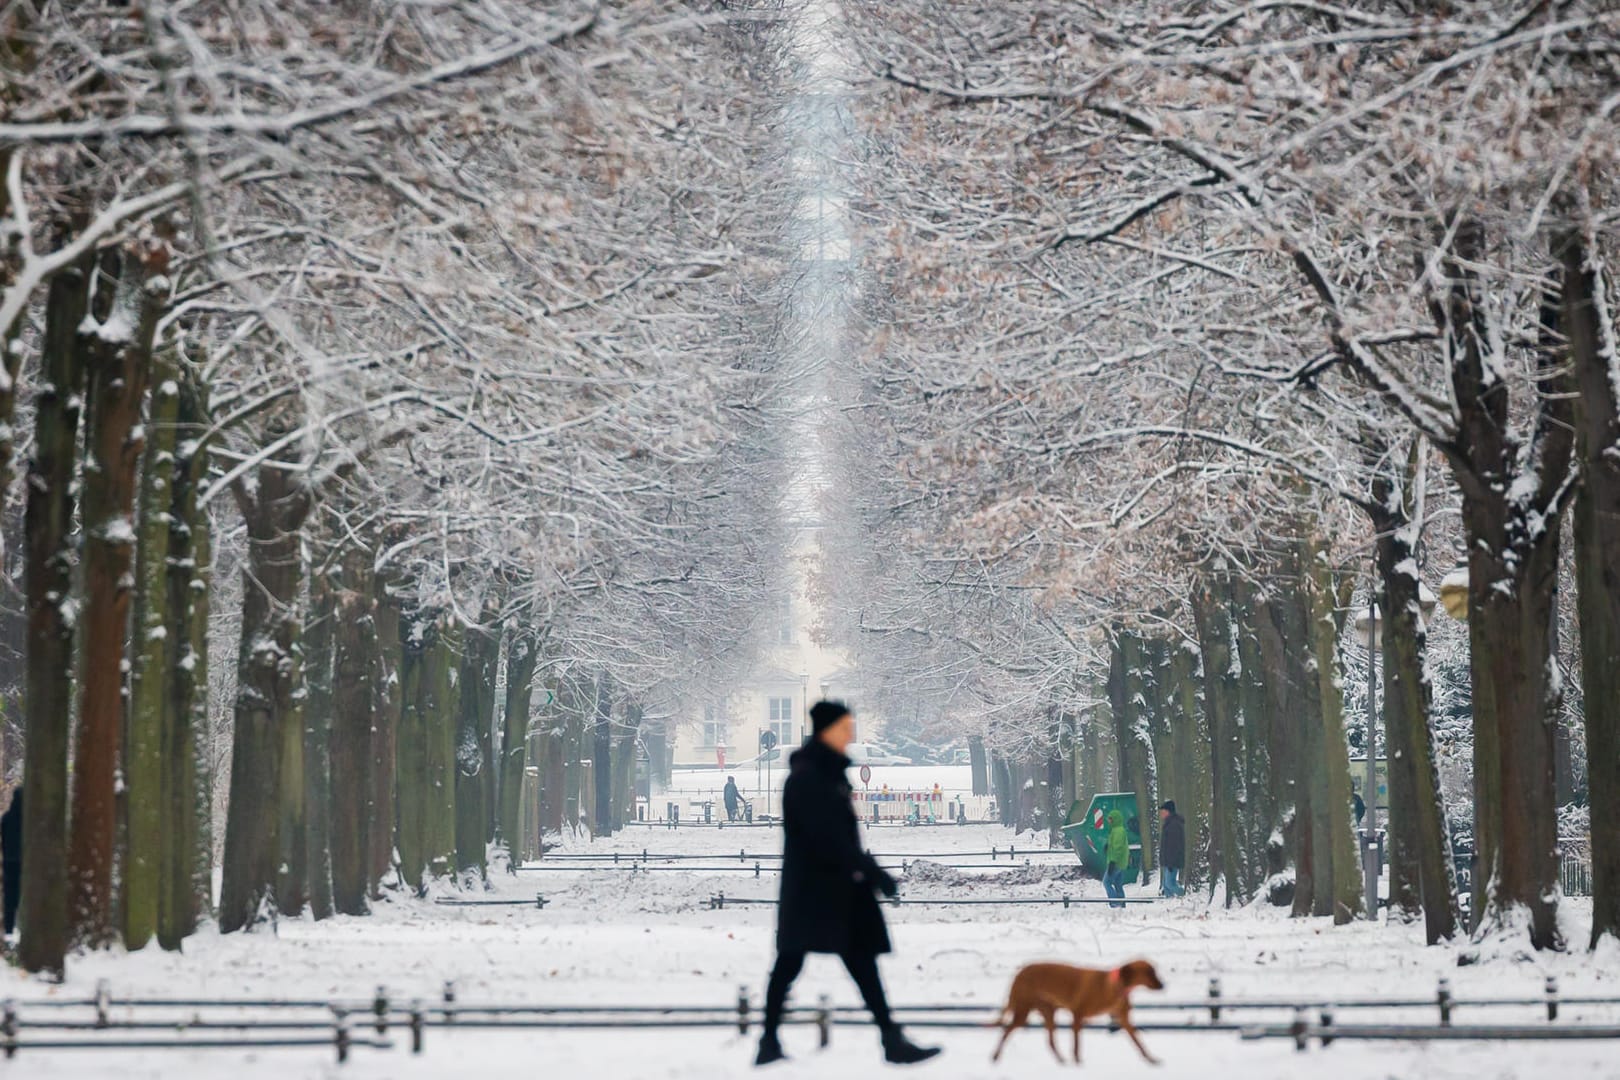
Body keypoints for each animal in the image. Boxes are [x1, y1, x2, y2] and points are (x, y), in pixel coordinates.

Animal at [984, 958, 1166, 1068]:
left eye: (1154, 971)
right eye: (1149, 972)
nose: (1163, 985)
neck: (1113, 987)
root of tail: (1019, 973)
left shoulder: (1124, 1020)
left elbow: (1139, 1043)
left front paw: (1151, 1059)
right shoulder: (1077, 1015)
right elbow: (1077, 1045)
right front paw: (1078, 1064)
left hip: (1048, 1011)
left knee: (1050, 1041)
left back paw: (1061, 1061)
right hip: (1023, 1010)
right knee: (1006, 1031)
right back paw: (995, 1056)